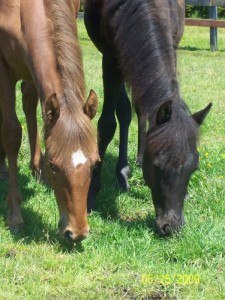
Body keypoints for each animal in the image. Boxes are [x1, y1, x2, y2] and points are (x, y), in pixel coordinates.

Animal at [0, 0, 98, 244]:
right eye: (54, 165)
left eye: (95, 163)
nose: (77, 232)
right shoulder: (3, 67)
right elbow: (12, 132)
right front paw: (15, 215)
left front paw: (40, 170)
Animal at [85, 0, 212, 237]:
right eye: (157, 165)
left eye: (194, 167)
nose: (171, 227)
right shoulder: (110, 59)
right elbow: (107, 125)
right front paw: (91, 193)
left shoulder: (172, 46)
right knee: (125, 112)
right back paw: (122, 172)